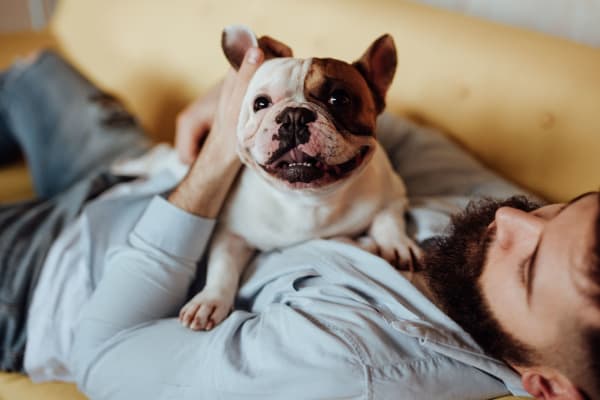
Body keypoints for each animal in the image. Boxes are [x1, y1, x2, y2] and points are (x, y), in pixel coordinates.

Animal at [180, 25, 420, 332]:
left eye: (339, 99)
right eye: (261, 103)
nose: (294, 115)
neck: (308, 200)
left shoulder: (392, 192)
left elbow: (388, 218)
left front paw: (396, 244)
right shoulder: (230, 232)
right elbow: (223, 266)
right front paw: (209, 300)